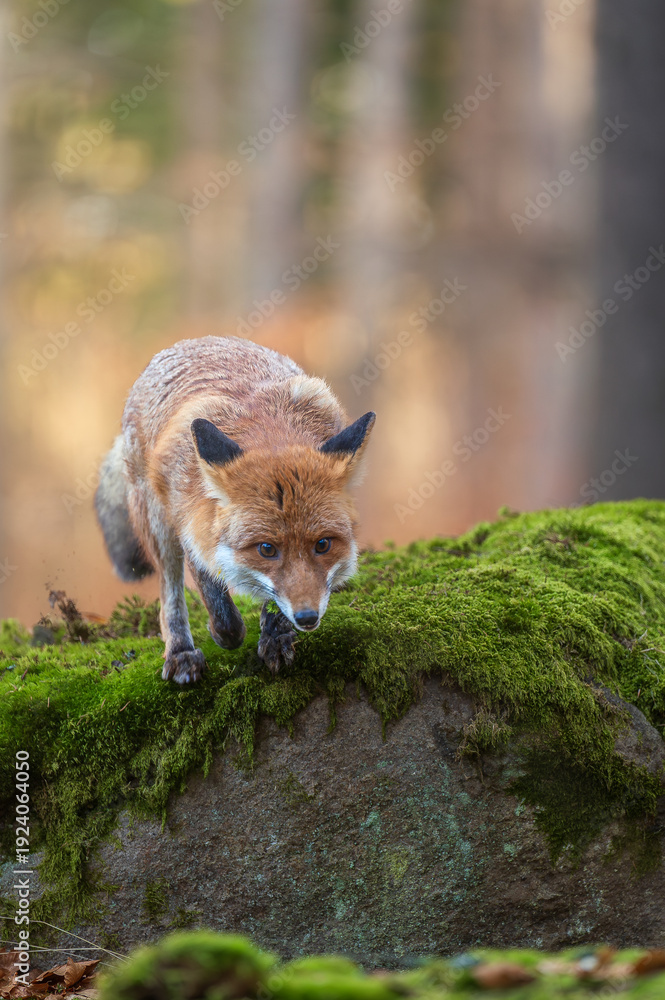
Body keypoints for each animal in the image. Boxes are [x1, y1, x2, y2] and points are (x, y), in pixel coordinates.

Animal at [95, 336, 375, 684]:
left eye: (322, 545)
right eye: (266, 549)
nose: (307, 617)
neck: (269, 429)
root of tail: (194, 341)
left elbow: (273, 599)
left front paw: (276, 633)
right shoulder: (192, 523)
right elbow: (219, 606)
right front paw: (224, 634)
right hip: (156, 520)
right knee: (169, 593)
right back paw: (180, 651)